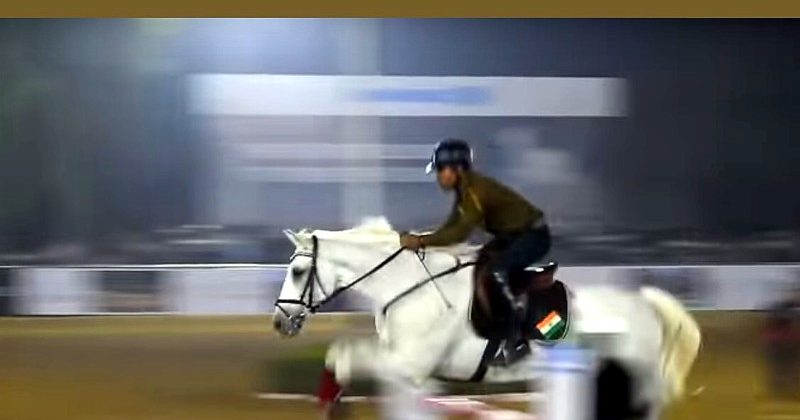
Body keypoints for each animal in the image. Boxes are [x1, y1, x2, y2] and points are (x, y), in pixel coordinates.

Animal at [272, 217, 701, 419]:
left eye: (298, 271)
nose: (279, 322)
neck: (409, 286)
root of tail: (644, 302)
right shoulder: (407, 365)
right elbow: (340, 355)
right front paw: (332, 401)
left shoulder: (408, 363)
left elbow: (343, 357)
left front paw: (331, 405)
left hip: (637, 376)